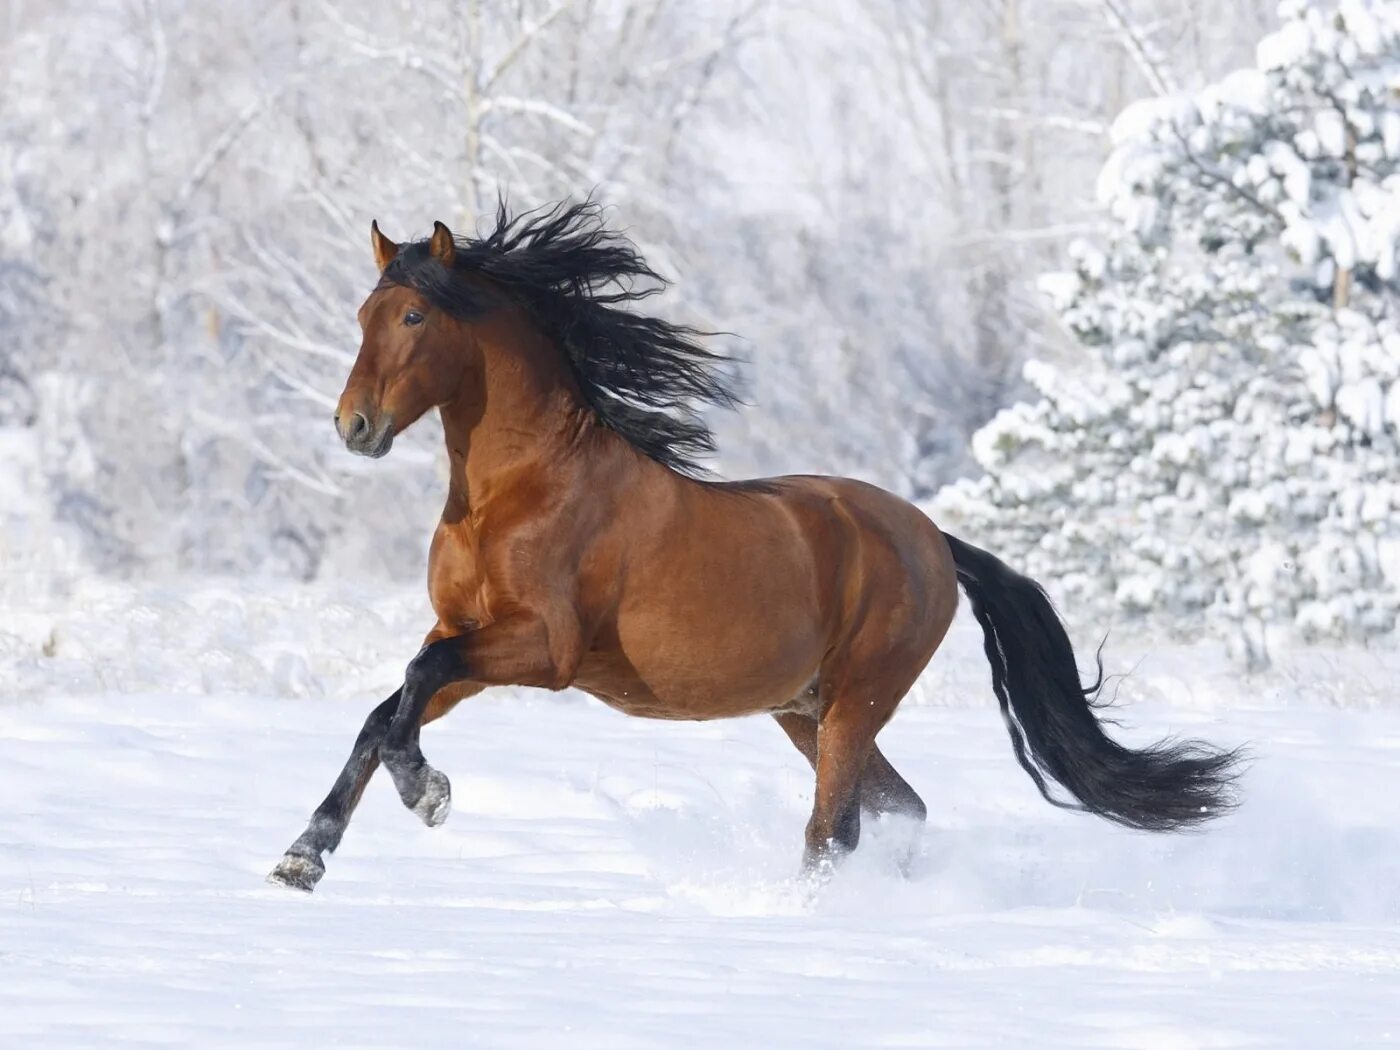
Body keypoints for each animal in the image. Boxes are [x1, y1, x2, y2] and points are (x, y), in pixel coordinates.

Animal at [267, 201, 1243, 890]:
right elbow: (386, 710)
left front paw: (426, 794)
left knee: (834, 825)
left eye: (415, 319)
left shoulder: (541, 650)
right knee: (900, 807)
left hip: (856, 700)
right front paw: (305, 855)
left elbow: (409, 689)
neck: (519, 490)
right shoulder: (464, 638)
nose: (354, 426)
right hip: (803, 710)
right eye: (363, 313)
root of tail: (931, 537)